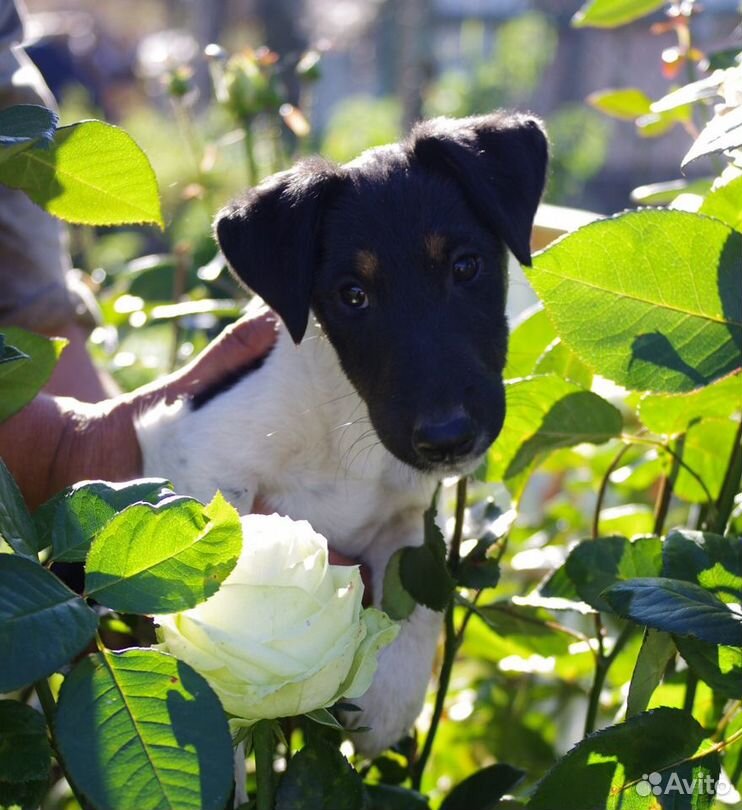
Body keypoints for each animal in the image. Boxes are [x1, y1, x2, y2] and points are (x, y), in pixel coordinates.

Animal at [138, 110, 548, 756]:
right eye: (352, 296)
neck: (346, 432)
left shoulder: (406, 514)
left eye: (465, 267)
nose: (448, 438)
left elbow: (416, 601)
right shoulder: (189, 448)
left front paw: (388, 702)